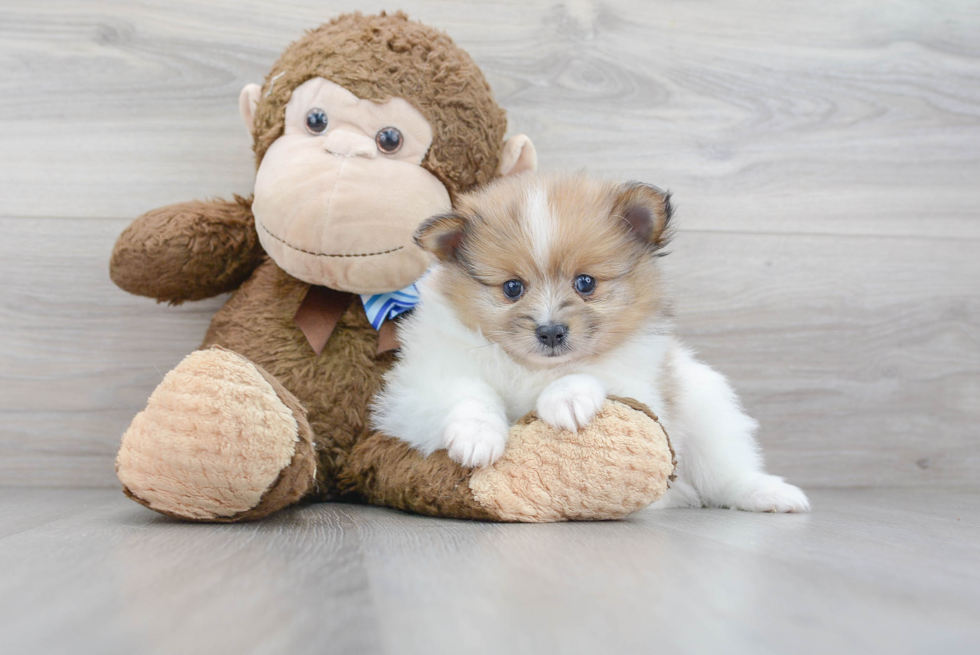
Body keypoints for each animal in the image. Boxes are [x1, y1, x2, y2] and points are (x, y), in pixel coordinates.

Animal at [372, 173, 808, 512]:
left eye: (585, 283)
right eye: (512, 288)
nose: (550, 331)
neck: (532, 369)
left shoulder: (641, 387)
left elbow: (594, 373)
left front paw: (566, 398)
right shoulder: (417, 389)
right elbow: (467, 394)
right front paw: (477, 436)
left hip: (708, 415)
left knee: (727, 472)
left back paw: (769, 493)